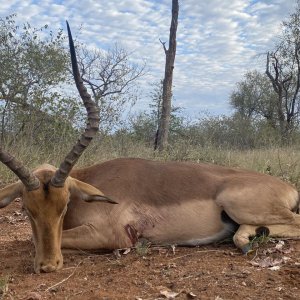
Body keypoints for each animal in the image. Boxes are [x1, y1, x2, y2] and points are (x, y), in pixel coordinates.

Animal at [0, 22, 300, 274]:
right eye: (27, 209)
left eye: (63, 207)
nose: (48, 266)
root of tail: (288, 188)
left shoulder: (111, 234)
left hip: (238, 203)